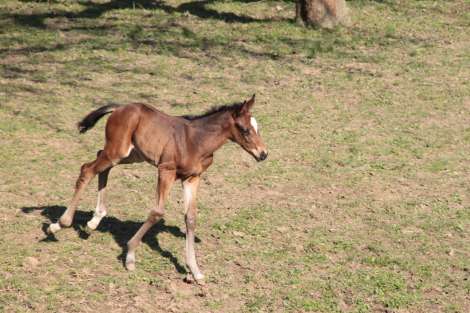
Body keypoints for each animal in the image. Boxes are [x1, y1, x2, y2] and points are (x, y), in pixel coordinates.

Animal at [48, 94, 268, 282]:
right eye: (245, 129)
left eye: (258, 128)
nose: (263, 154)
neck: (197, 141)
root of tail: (120, 107)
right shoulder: (166, 171)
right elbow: (157, 212)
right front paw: (130, 255)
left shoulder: (192, 178)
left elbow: (190, 218)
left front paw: (195, 270)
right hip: (118, 151)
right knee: (87, 169)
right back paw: (59, 224)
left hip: (129, 154)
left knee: (100, 162)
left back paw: (94, 220)